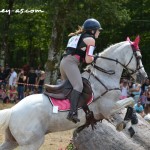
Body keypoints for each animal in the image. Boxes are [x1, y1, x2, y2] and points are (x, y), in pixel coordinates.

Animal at [0, 35, 148, 149]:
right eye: (139, 57)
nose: (144, 77)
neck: (104, 76)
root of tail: (12, 111)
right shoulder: (108, 108)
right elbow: (131, 101)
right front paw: (125, 124)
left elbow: (130, 102)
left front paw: (130, 124)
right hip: (31, 143)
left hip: (11, 141)